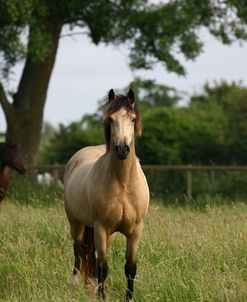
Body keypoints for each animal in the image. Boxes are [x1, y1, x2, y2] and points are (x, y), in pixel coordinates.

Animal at [63, 88, 149, 300]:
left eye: (132, 119)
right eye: (111, 119)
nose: (122, 149)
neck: (123, 184)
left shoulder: (136, 230)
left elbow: (130, 268)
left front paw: (129, 298)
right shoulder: (101, 228)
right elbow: (104, 267)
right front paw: (102, 296)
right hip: (76, 223)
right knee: (78, 250)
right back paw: (74, 285)